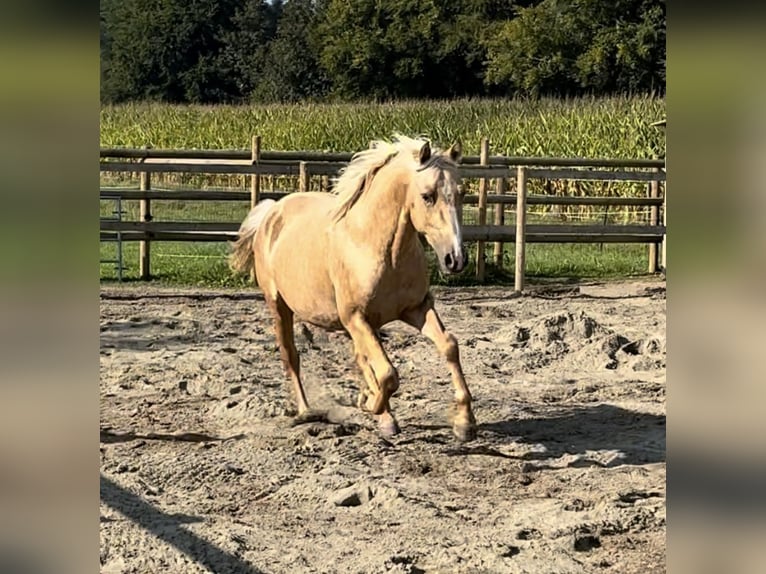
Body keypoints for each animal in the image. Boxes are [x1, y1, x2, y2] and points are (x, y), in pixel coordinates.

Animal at [228, 135, 476, 440]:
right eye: (427, 195)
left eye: (462, 193)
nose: (456, 259)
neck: (375, 245)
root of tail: (272, 211)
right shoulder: (356, 317)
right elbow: (388, 374)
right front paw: (372, 406)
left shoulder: (415, 309)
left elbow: (449, 346)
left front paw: (465, 423)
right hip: (280, 306)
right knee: (291, 357)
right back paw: (307, 411)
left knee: (360, 357)